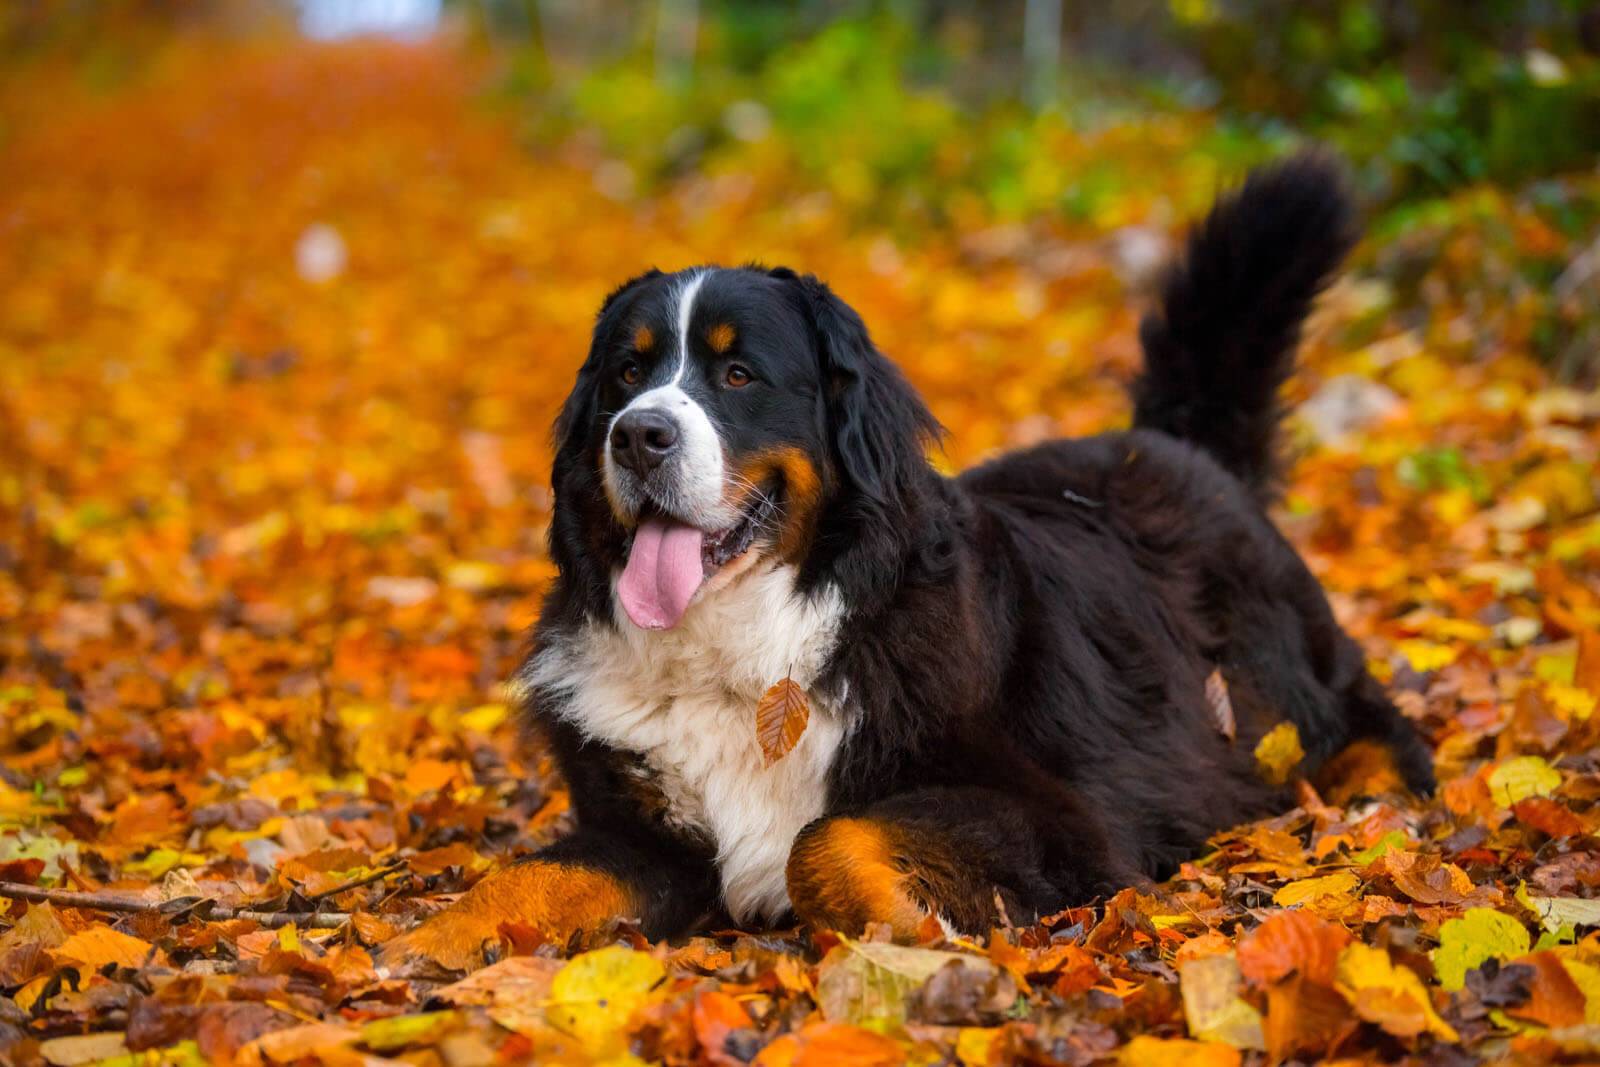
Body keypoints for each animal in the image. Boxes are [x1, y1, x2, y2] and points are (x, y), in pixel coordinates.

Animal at [384, 151, 1440, 979]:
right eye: (626, 372)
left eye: (737, 373)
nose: (637, 435)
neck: (746, 662)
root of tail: (1171, 448)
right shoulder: (642, 835)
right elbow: (528, 873)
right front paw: (422, 941)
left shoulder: (1063, 816)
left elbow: (828, 839)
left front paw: (908, 930)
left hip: (1296, 693)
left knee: (1377, 725)